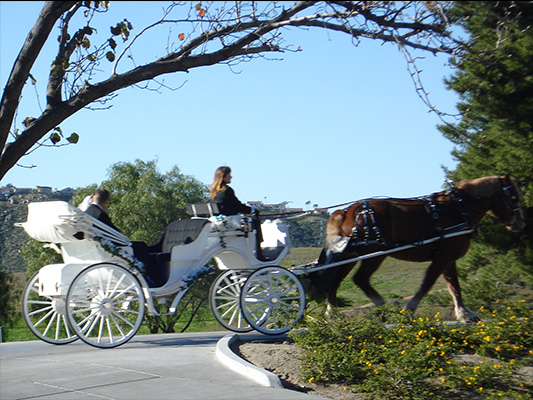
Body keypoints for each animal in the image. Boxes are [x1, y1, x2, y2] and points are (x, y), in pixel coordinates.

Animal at [308, 174, 524, 322]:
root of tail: (348, 210)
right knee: (359, 279)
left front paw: (465, 314)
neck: (459, 208)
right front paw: (409, 309)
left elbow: (454, 285)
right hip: (374, 254)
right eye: (513, 197)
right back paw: (384, 308)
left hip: (350, 254)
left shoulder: (448, 257)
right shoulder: (443, 257)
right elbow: (428, 284)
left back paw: (333, 313)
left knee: (336, 281)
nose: (519, 223)